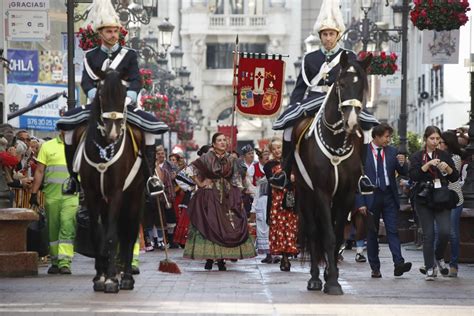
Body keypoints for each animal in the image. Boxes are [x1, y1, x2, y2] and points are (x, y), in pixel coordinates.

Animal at [72, 70, 144, 292]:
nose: (113, 133)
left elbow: (112, 235)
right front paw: (100, 277)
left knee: (129, 233)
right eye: (101, 94)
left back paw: (127, 277)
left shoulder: (116, 192)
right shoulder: (93, 194)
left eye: (123, 95)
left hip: (134, 197)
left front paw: (112, 279)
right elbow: (98, 234)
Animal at [292, 50, 374, 296]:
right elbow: (326, 235)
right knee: (313, 231)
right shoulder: (321, 191)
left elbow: (337, 236)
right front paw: (330, 281)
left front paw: (332, 275)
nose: (352, 122)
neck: (336, 141)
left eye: (362, 85)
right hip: (305, 193)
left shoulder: (346, 194)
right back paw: (314, 279)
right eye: (341, 84)